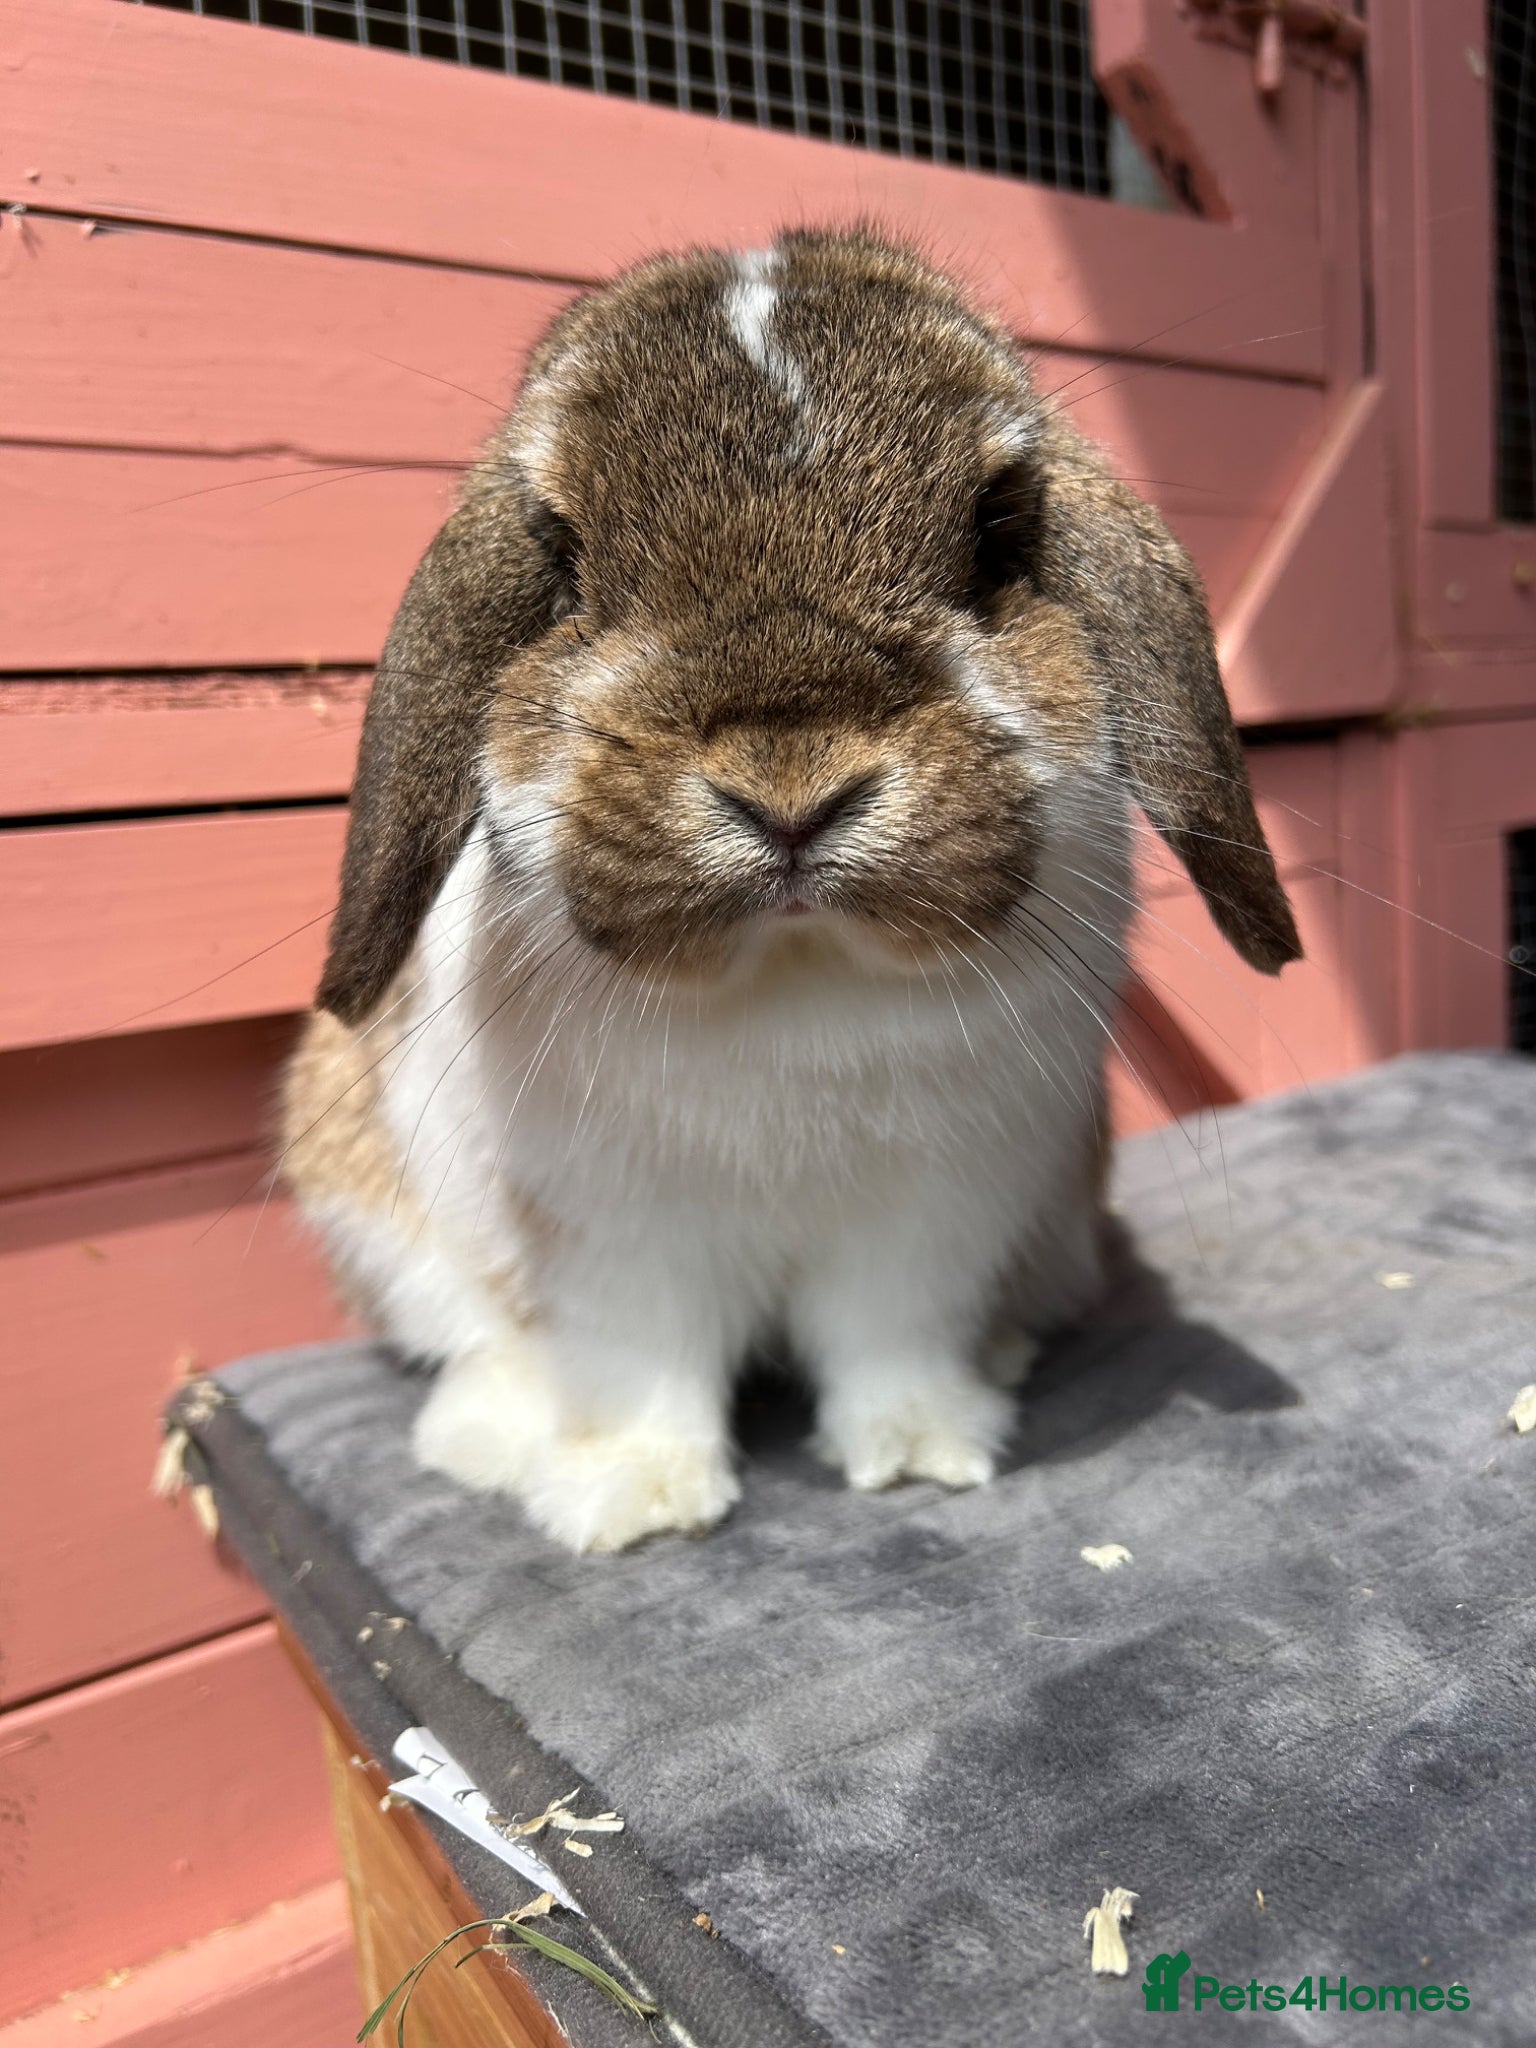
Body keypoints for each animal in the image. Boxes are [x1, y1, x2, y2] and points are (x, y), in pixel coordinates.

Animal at [281, 227, 1299, 1554]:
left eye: (996, 531)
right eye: (561, 556)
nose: (792, 789)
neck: (792, 970)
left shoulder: (934, 1211)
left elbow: (891, 1341)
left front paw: (924, 1451)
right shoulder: (609, 1236)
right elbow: (638, 1365)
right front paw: (634, 1501)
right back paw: (489, 1430)